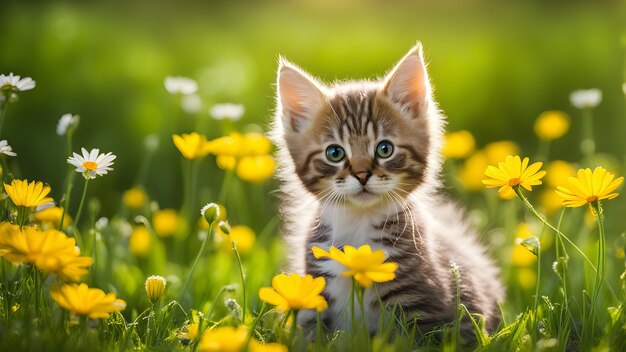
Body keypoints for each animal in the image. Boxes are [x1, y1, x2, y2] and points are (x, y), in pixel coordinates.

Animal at [270, 43, 504, 340]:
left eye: (384, 149)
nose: (362, 175)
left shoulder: (422, 304)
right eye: (335, 153)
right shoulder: (315, 295)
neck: (358, 225)